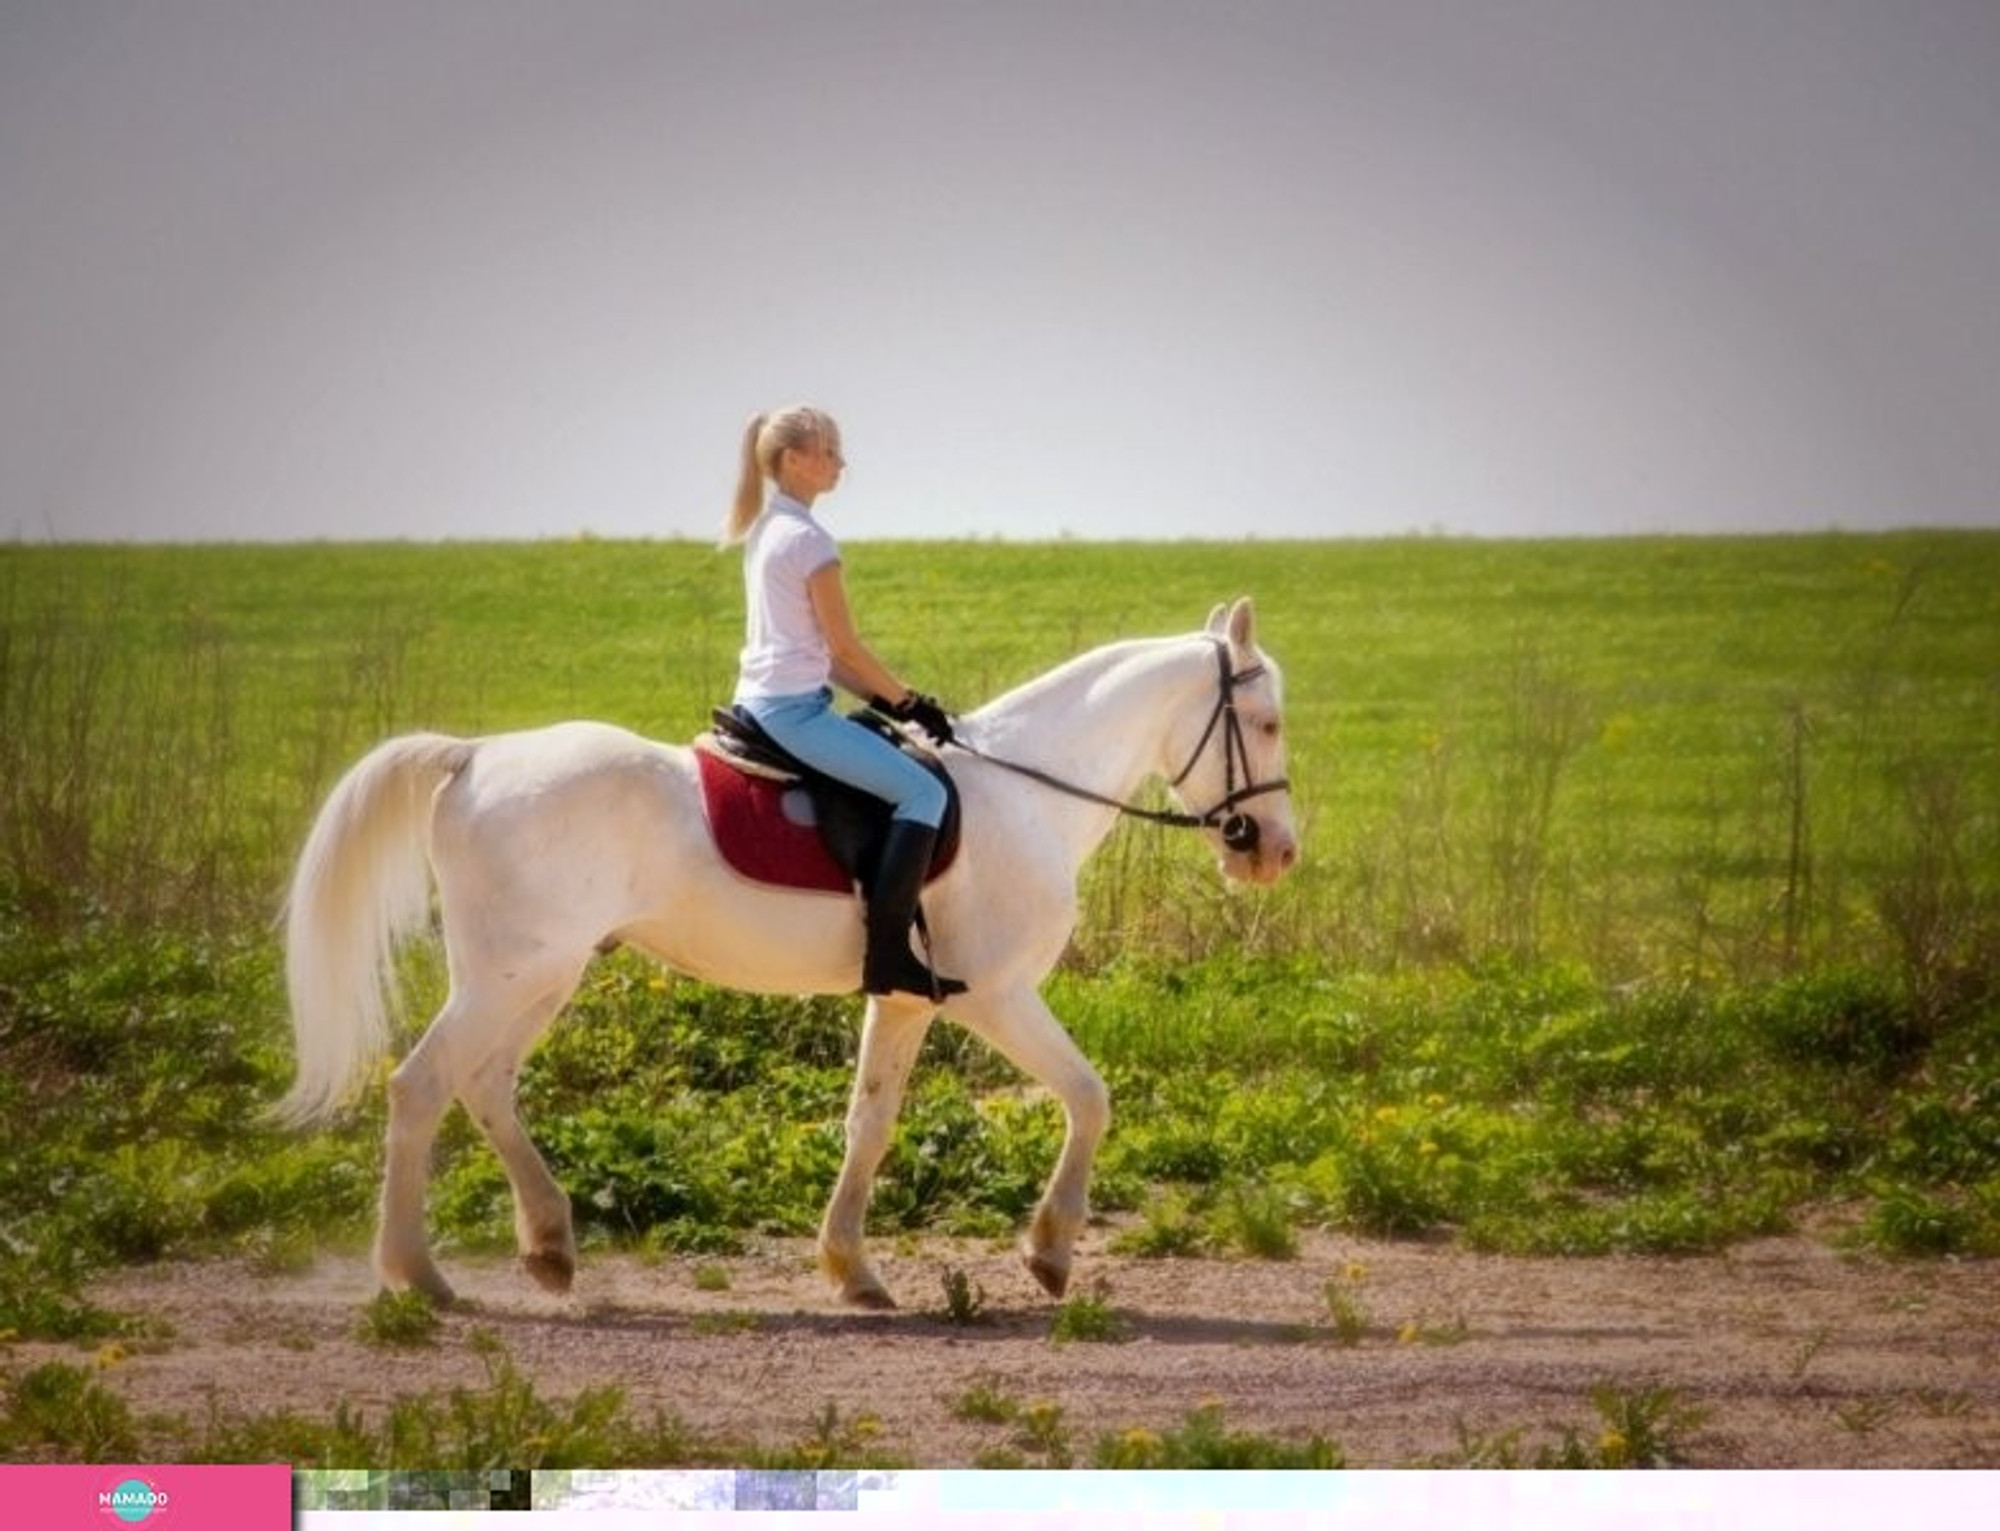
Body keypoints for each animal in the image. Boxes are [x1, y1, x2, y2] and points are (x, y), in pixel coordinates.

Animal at [282, 595, 1304, 1311]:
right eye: (1267, 723)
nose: (1276, 851)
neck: (1027, 792)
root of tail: (474, 756)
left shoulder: (904, 998)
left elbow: (871, 1123)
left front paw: (852, 1267)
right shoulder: (998, 994)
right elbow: (1090, 1096)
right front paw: (1049, 1252)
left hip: (540, 973)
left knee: (485, 1082)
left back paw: (548, 1246)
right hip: (514, 972)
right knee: (422, 1085)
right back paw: (417, 1274)